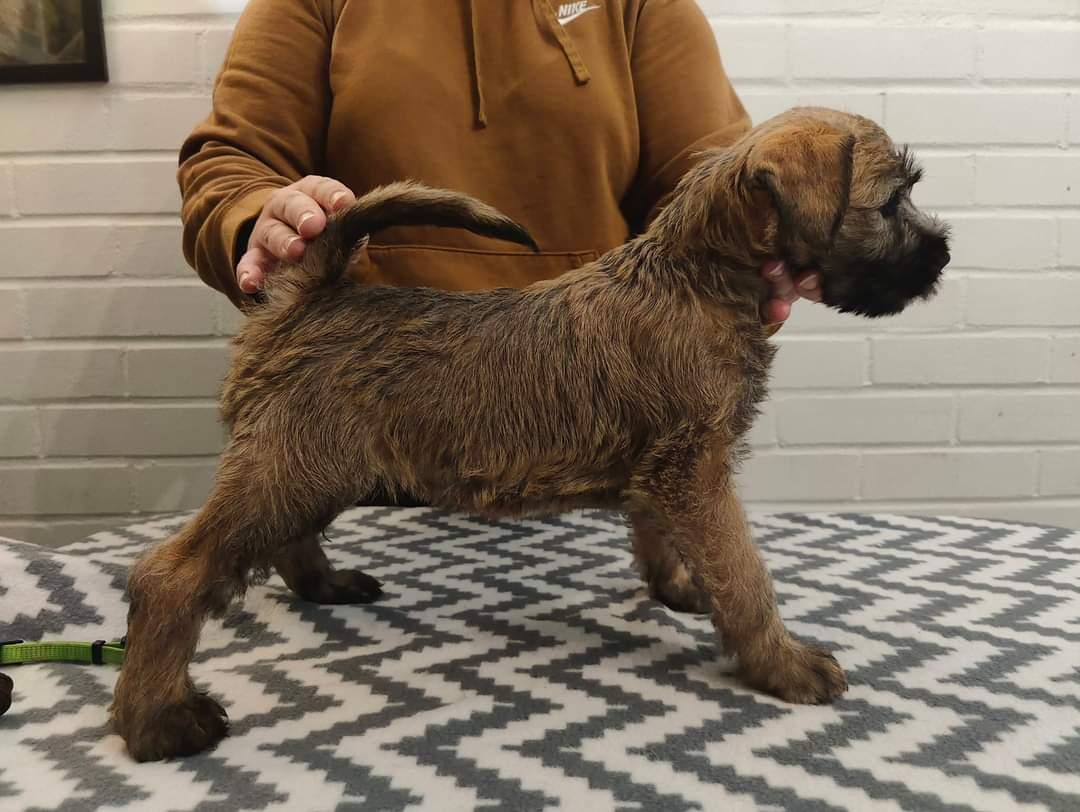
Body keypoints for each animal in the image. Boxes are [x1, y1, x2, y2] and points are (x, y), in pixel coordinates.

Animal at [110, 107, 949, 761]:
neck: (698, 277)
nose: (942, 254)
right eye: (889, 203)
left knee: (280, 544)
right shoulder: (697, 470)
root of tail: (308, 296)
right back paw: (159, 721)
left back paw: (326, 585)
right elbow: (747, 576)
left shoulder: (669, 470)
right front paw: (782, 662)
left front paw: (680, 588)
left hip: (307, 472)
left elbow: (668, 540)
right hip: (287, 470)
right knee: (172, 575)